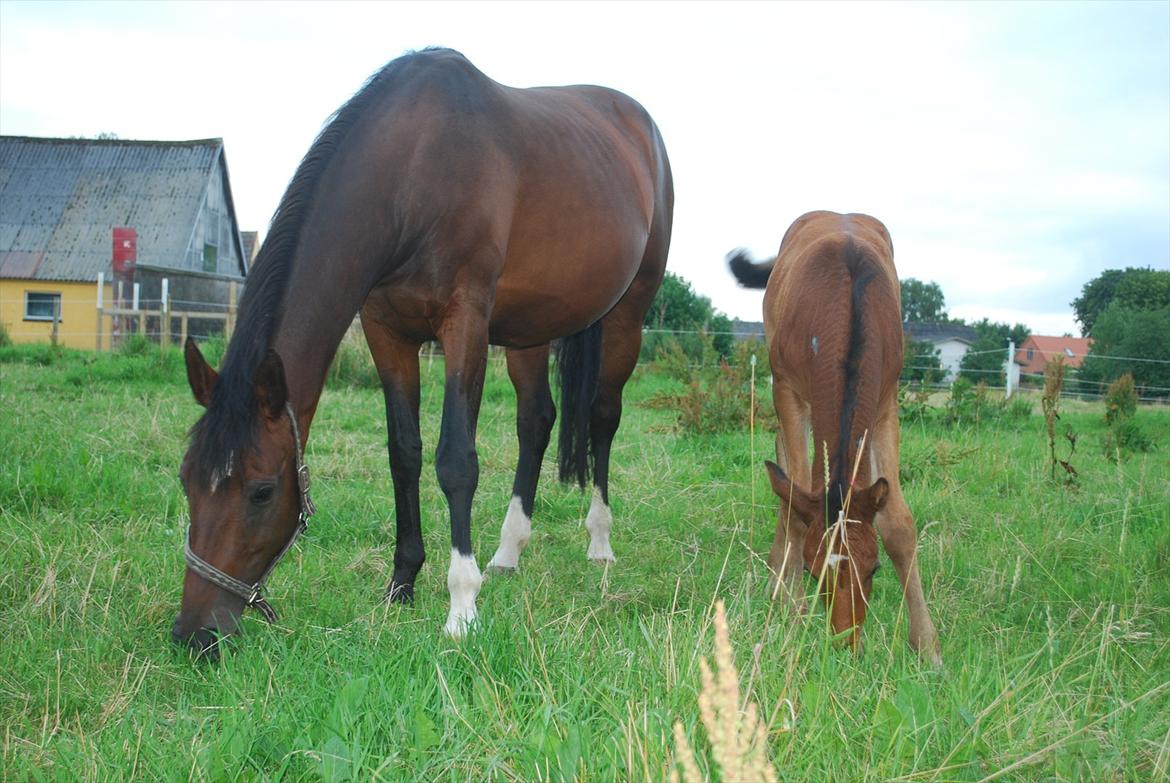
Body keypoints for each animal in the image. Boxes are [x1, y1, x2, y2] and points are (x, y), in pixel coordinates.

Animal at [170, 48, 678, 655]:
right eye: (186, 479)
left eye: (262, 491)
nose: (193, 633)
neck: (415, 170)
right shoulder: (386, 329)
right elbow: (404, 454)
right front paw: (402, 583)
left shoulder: (465, 322)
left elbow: (455, 460)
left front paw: (462, 606)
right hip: (529, 331)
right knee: (536, 422)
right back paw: (508, 552)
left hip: (628, 313)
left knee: (602, 419)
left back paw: (599, 541)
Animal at [730, 209, 940, 660]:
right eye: (812, 571)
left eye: (874, 567)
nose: (847, 641)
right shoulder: (787, 389)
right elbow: (795, 500)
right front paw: (791, 608)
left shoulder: (886, 402)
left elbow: (899, 523)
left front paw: (927, 644)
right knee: (786, 464)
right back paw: (777, 577)